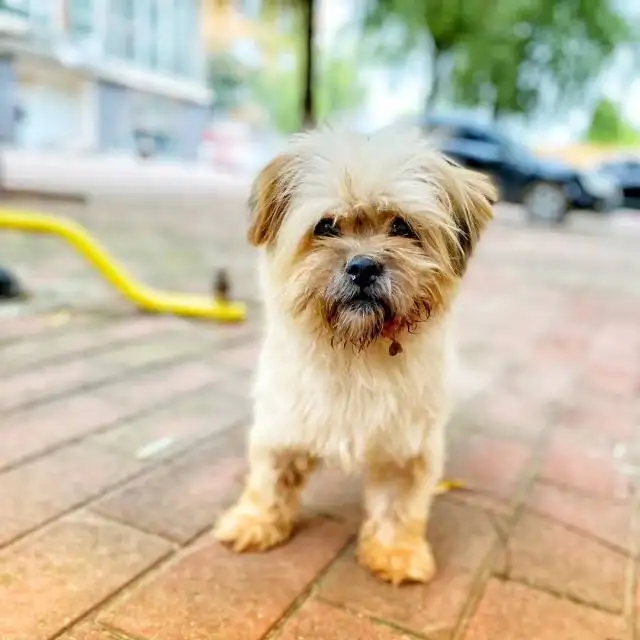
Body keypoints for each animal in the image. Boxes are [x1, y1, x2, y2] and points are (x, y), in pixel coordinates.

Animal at [215, 124, 496, 584]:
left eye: (401, 226)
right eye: (326, 226)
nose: (363, 266)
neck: (356, 352)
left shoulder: (407, 447)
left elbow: (399, 505)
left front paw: (396, 551)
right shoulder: (282, 424)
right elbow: (269, 479)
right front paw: (255, 522)